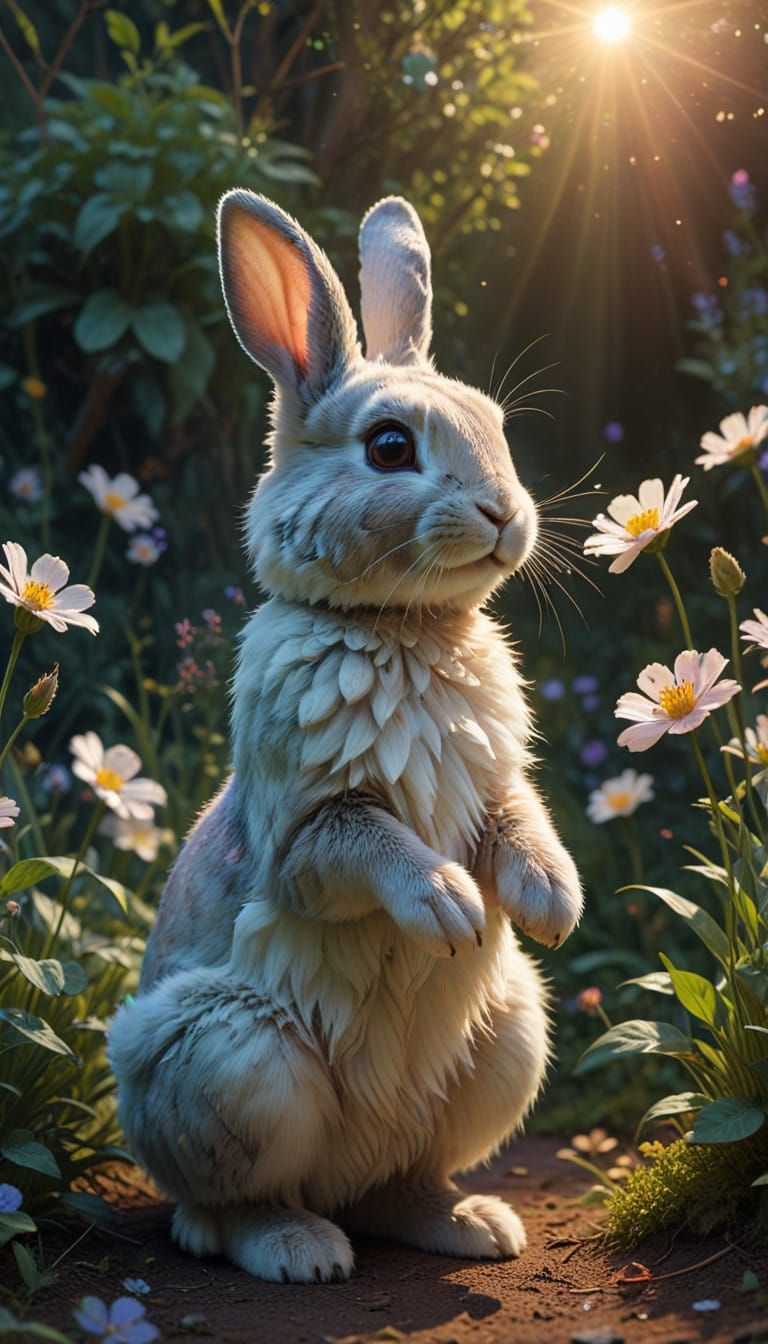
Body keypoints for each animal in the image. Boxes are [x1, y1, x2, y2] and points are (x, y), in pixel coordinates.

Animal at [108, 190, 584, 1286]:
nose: (506, 515)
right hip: (236, 1059)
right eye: (390, 448)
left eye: (496, 427)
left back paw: (472, 1225)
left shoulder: (498, 787)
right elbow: (365, 848)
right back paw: (299, 1250)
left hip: (506, 1040)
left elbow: (524, 824)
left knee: (398, 1185)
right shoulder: (307, 826)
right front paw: (451, 908)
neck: (404, 629)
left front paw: (549, 907)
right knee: (223, 1206)